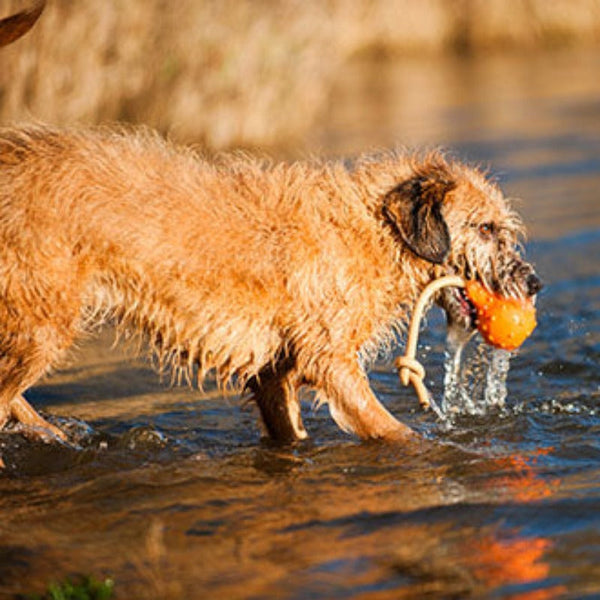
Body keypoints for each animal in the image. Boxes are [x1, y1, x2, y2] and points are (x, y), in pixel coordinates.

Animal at [0, 3, 540, 446]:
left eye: (505, 229)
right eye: (486, 228)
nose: (534, 283)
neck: (375, 232)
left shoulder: (274, 374)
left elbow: (288, 427)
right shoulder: (332, 361)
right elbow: (391, 428)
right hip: (42, 322)